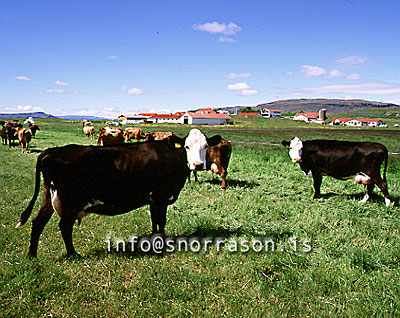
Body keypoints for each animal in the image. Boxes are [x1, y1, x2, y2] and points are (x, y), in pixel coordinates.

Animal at [16, 128, 222, 258]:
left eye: (205, 146)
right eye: (187, 146)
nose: (198, 165)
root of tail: (51, 151)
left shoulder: (153, 199)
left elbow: (155, 221)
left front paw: (154, 241)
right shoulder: (160, 197)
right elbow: (161, 221)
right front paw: (161, 245)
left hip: (48, 197)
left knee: (38, 222)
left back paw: (32, 255)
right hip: (69, 201)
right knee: (64, 226)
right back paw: (73, 254)